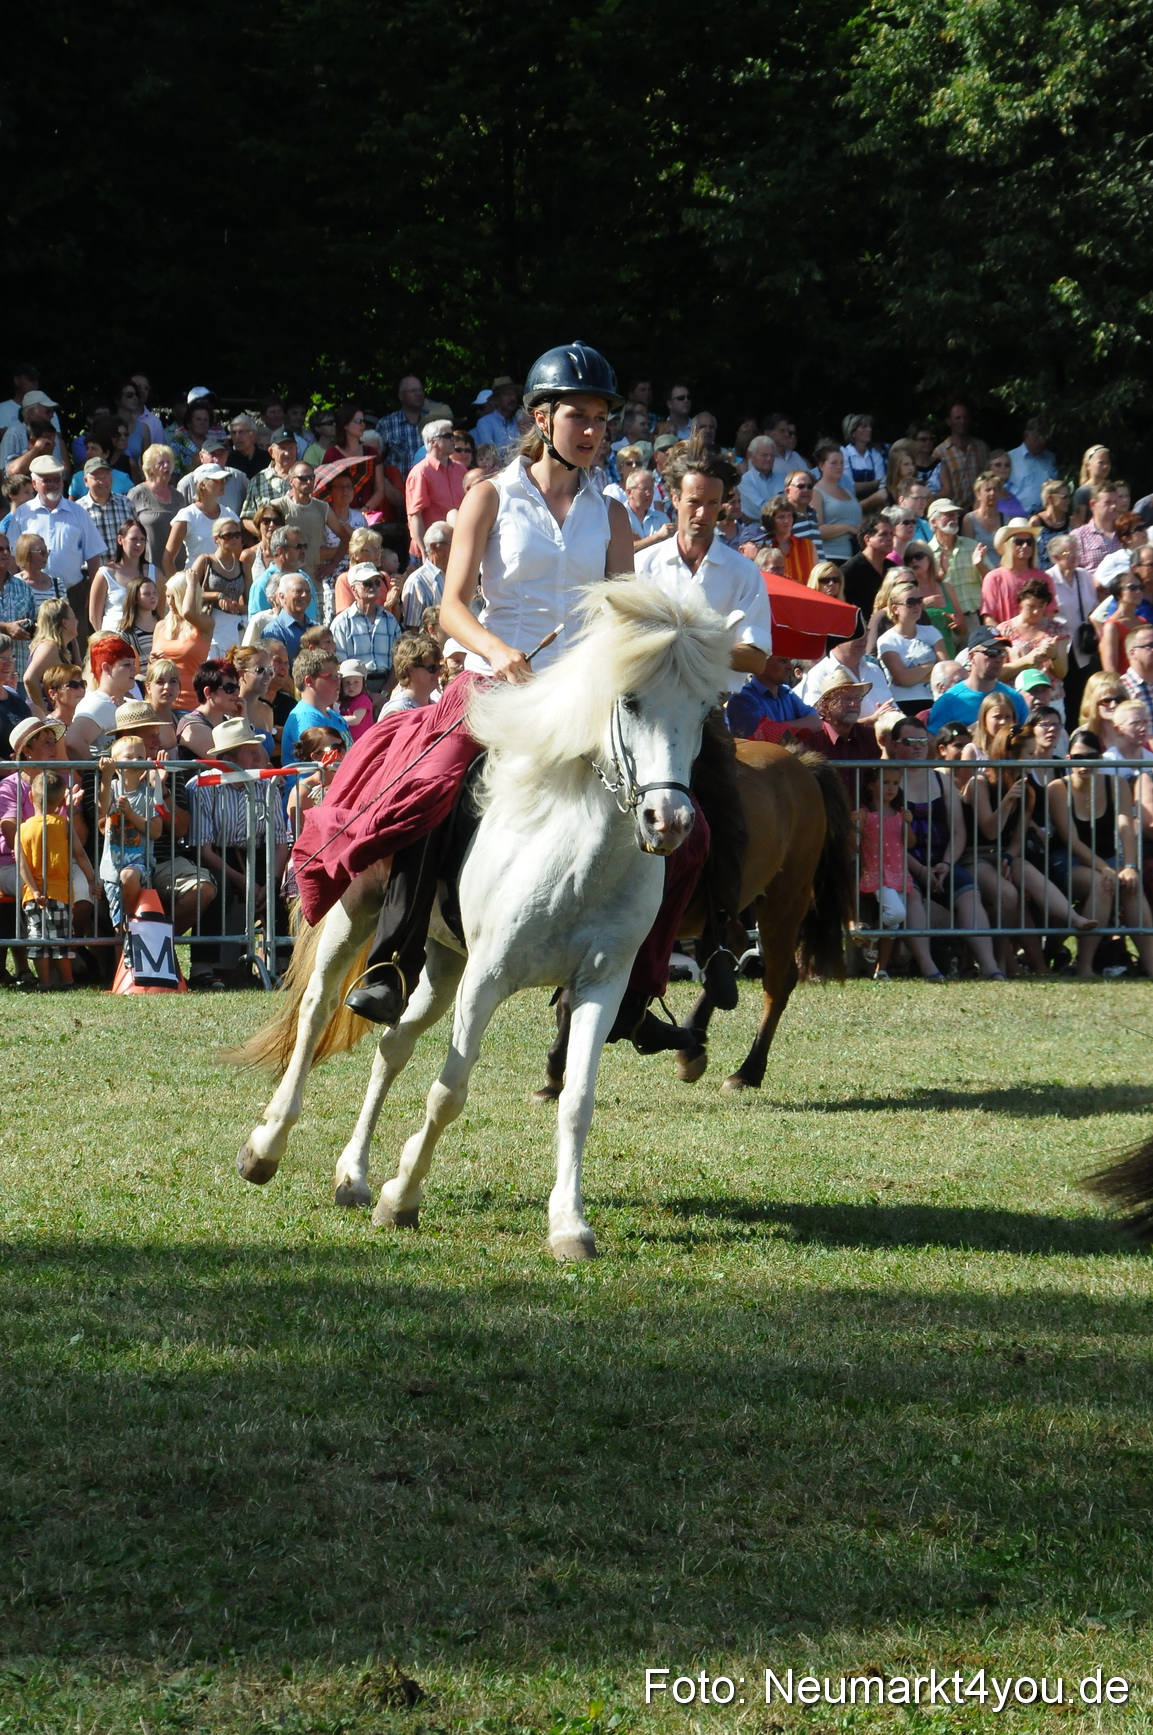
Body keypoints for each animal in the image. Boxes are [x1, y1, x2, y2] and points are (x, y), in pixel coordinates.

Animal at [231, 578, 735, 1261]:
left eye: (706, 710)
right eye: (629, 701)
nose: (671, 822)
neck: (574, 848)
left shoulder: (599, 985)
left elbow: (577, 1100)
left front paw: (568, 1225)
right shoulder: (488, 979)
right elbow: (449, 1093)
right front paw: (402, 1198)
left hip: (443, 963)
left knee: (392, 1044)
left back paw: (353, 1176)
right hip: (355, 918)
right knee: (317, 1012)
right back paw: (266, 1148)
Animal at [533, 743, 854, 1100]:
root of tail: (800, 762)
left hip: (784, 901)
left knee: (777, 982)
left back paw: (747, 1070)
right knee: (732, 949)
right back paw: (694, 1038)